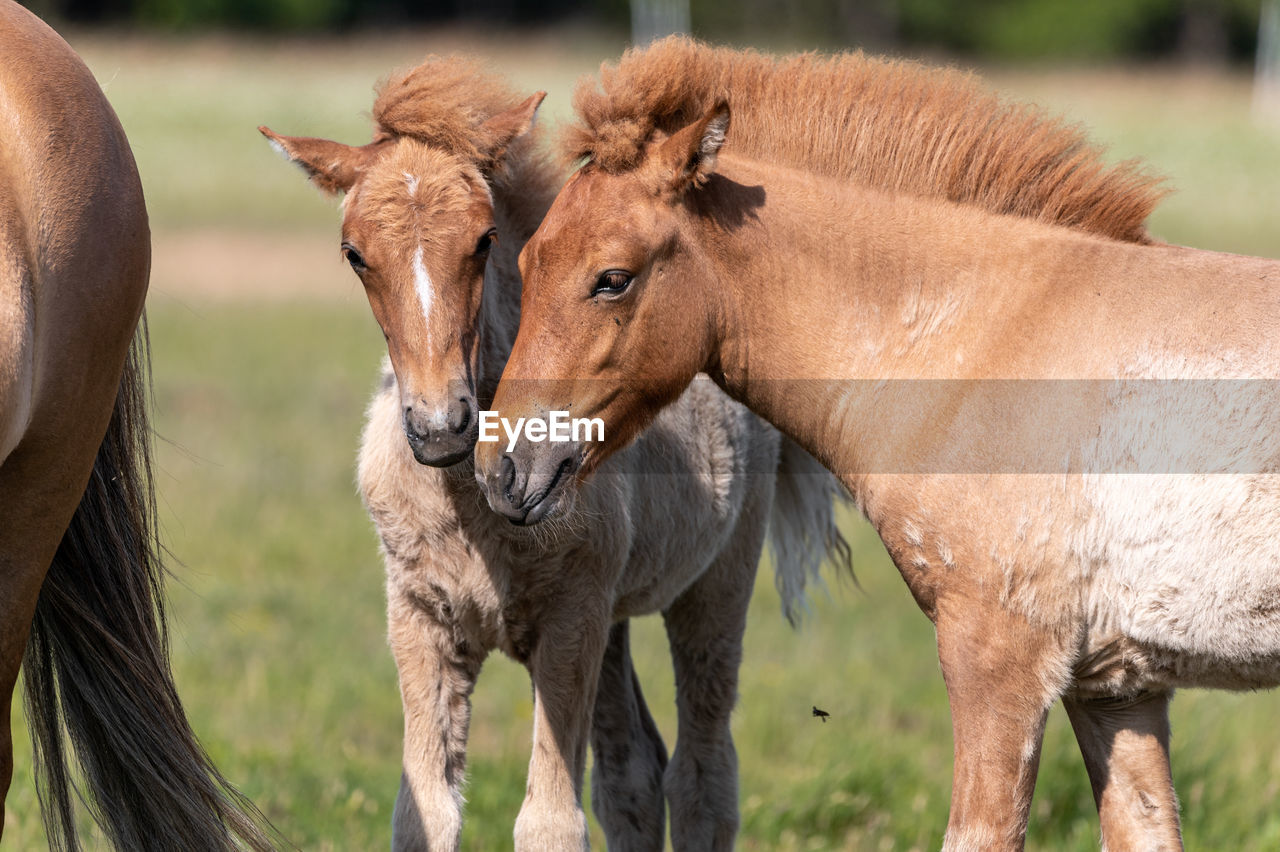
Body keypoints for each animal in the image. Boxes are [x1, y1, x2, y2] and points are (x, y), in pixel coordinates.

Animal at [261, 56, 849, 844]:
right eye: (354, 255)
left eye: (484, 240)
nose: (441, 426)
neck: (470, 512)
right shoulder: (421, 619)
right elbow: (425, 812)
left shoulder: (570, 621)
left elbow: (548, 823)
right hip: (614, 617)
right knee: (634, 772)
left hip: (713, 582)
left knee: (703, 773)